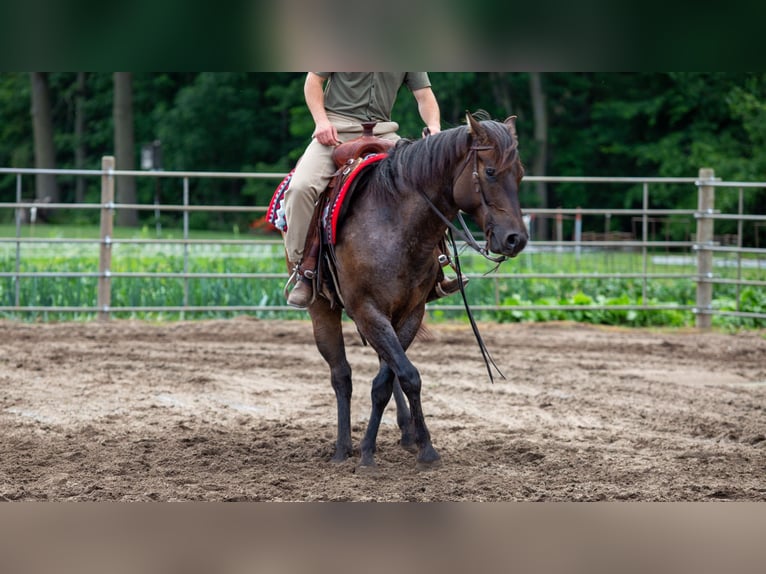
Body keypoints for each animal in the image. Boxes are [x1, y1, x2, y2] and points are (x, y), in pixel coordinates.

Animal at [307, 112, 527, 469]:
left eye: (519, 174)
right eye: (490, 171)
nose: (515, 239)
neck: (395, 224)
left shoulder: (410, 312)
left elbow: (389, 380)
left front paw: (414, 445)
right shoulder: (368, 311)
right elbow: (406, 374)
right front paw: (369, 452)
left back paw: (405, 433)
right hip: (322, 310)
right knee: (341, 375)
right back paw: (342, 448)